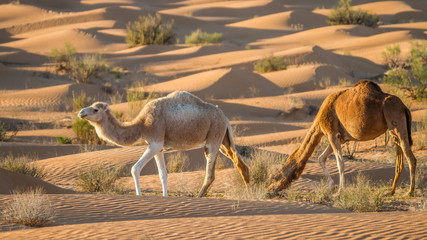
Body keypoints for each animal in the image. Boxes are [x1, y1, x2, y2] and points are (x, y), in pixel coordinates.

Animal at [79, 90, 251, 197]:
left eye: (95, 109)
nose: (81, 112)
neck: (142, 124)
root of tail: (225, 118)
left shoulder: (155, 142)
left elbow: (135, 168)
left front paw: (139, 195)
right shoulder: (159, 148)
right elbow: (163, 175)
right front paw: (165, 196)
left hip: (214, 138)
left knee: (210, 174)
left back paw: (198, 197)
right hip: (223, 139)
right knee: (240, 163)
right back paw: (251, 193)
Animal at [270, 80, 416, 195]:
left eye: (276, 177)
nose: (270, 190)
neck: (319, 120)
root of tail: (404, 106)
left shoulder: (331, 133)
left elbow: (340, 163)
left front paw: (340, 190)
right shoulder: (341, 138)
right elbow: (321, 158)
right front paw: (333, 187)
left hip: (396, 121)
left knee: (410, 157)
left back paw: (410, 192)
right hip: (393, 129)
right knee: (399, 156)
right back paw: (391, 191)